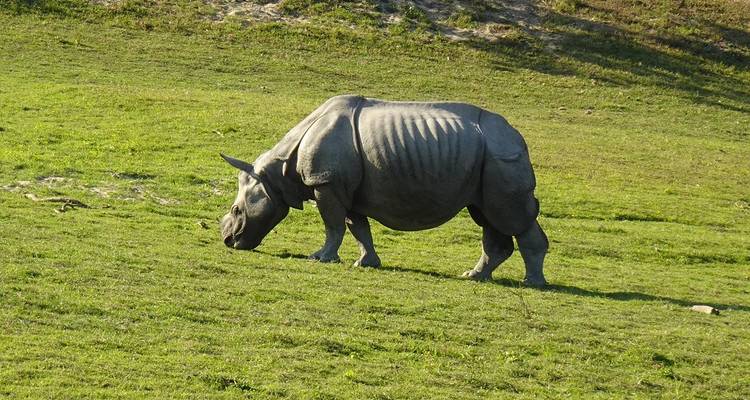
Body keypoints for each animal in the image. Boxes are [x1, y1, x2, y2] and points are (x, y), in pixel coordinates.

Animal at [220, 95, 548, 286]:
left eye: (237, 210)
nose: (228, 241)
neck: (276, 174)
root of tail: (518, 136)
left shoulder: (326, 182)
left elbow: (333, 225)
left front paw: (321, 258)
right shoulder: (345, 189)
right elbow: (357, 227)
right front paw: (365, 263)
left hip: (500, 156)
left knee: (510, 217)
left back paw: (531, 283)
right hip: (488, 161)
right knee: (488, 217)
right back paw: (475, 277)